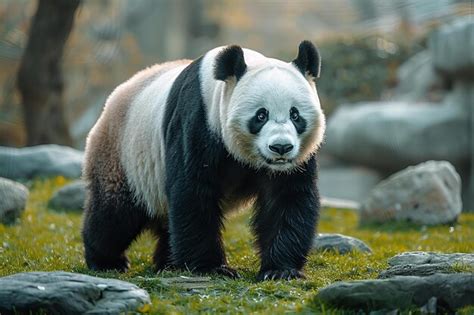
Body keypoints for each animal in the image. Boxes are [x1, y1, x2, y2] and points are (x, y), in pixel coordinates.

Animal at [81, 40, 326, 282]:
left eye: (295, 115)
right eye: (261, 115)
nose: (281, 148)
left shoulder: (296, 161)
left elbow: (287, 198)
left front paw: (280, 270)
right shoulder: (199, 121)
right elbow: (193, 191)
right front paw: (212, 268)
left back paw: (168, 262)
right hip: (122, 157)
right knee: (115, 215)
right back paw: (107, 261)